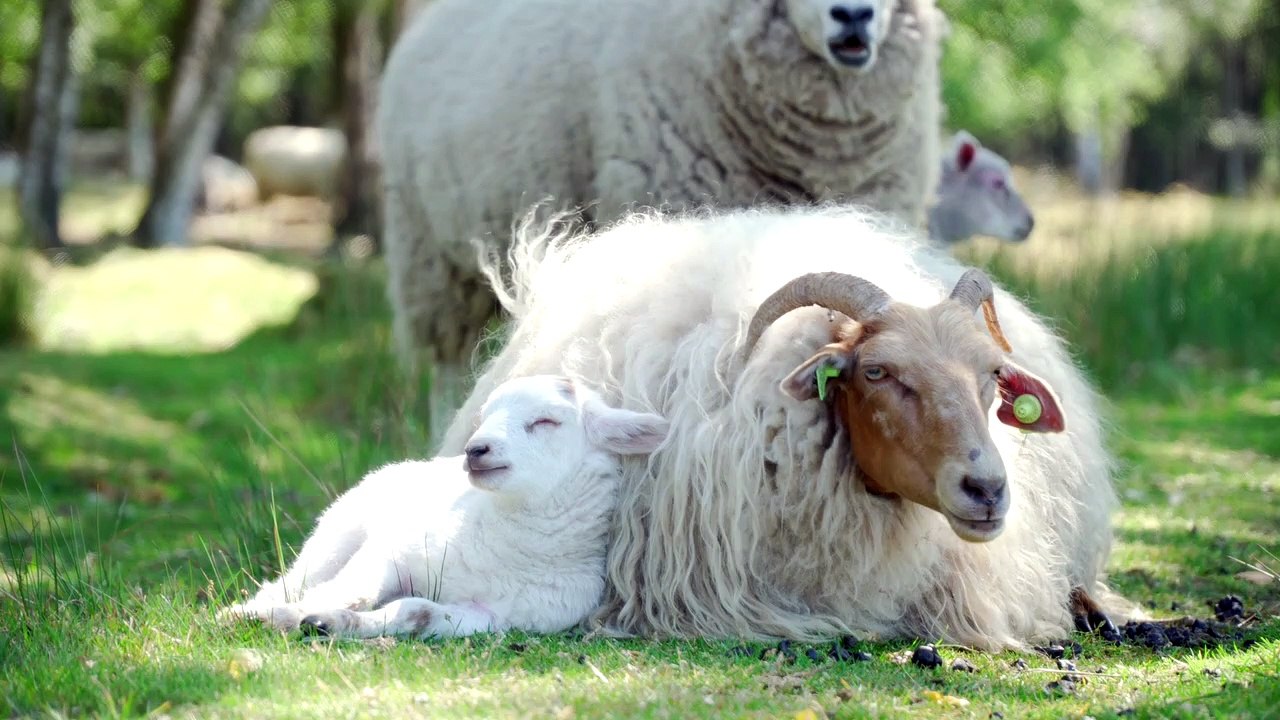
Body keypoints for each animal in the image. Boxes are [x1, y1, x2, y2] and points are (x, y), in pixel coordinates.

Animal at [218, 374, 669, 640]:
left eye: (546, 421)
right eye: (484, 416)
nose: (475, 450)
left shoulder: (494, 617)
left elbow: (415, 611)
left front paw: (334, 623)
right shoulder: (395, 548)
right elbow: (354, 588)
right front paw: (295, 615)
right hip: (337, 533)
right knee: (296, 580)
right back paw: (248, 612)